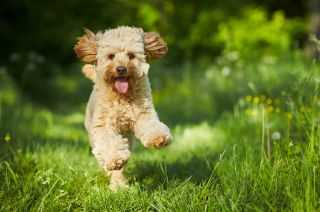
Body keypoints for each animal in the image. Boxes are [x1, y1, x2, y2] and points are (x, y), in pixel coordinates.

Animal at [74, 26, 172, 190]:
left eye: (131, 55)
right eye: (111, 56)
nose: (121, 69)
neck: (123, 97)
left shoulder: (144, 114)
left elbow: (152, 126)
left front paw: (159, 138)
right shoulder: (103, 125)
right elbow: (109, 145)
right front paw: (115, 160)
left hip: (128, 138)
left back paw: (119, 184)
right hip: (93, 134)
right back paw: (115, 179)